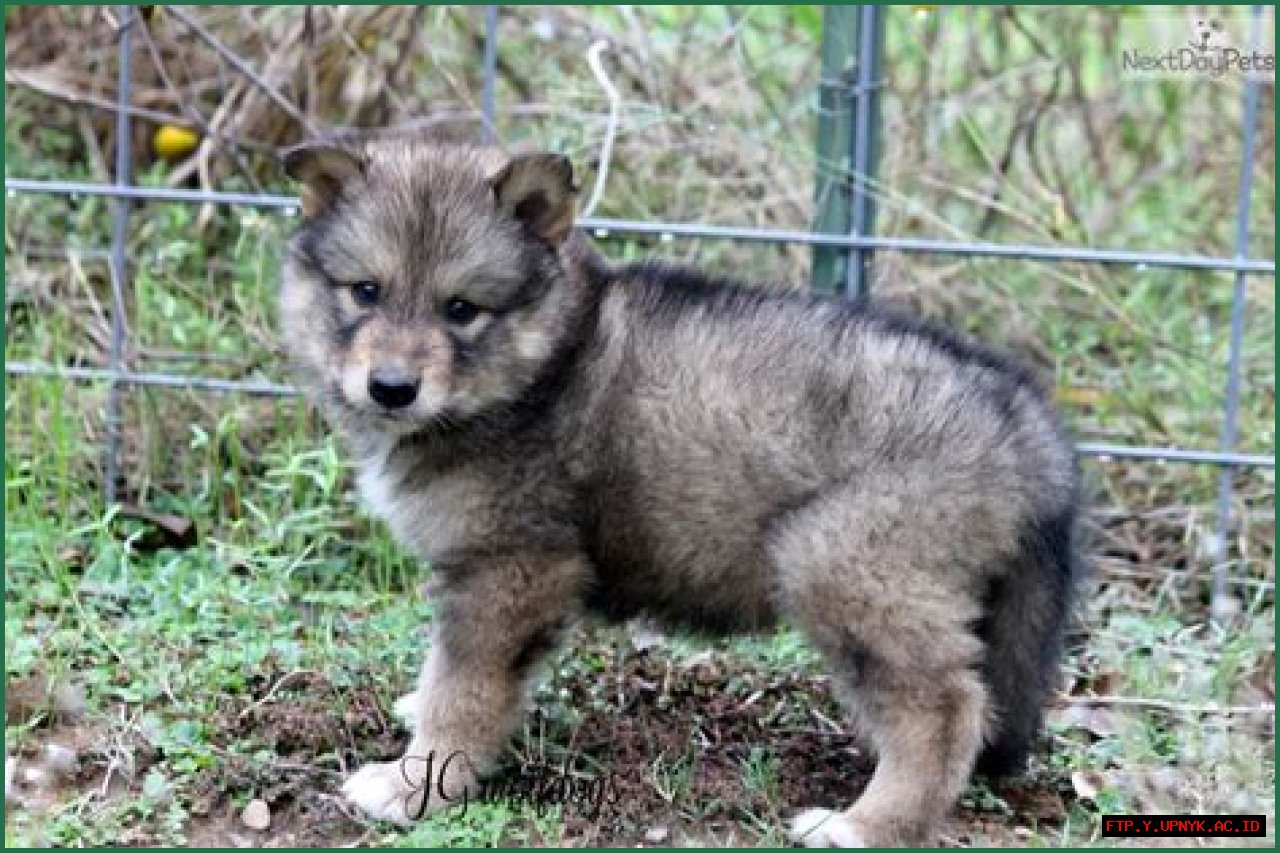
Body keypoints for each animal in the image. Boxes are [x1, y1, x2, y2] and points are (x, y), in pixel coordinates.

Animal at [278, 138, 1081, 846]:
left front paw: (415, 782)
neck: (541, 365)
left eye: (462, 309)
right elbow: (450, 673)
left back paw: (863, 825)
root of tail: (1026, 421)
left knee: (943, 709)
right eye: (366, 292)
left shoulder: (512, 568)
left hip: (846, 566)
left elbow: (464, 688)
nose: (391, 388)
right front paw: (418, 719)